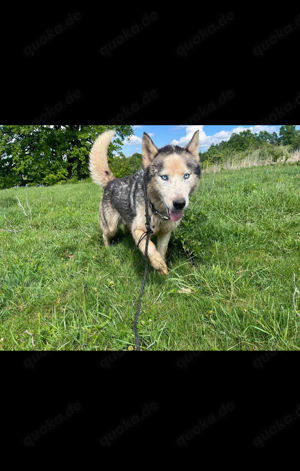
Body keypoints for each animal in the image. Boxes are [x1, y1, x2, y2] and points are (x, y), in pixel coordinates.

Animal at [89, 130, 202, 276]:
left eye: (186, 175)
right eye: (164, 177)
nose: (179, 204)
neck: (157, 211)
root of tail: (111, 182)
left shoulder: (165, 234)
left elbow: (162, 251)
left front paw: (163, 268)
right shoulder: (139, 231)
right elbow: (150, 249)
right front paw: (159, 265)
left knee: (126, 227)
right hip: (111, 227)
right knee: (105, 234)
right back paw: (107, 248)